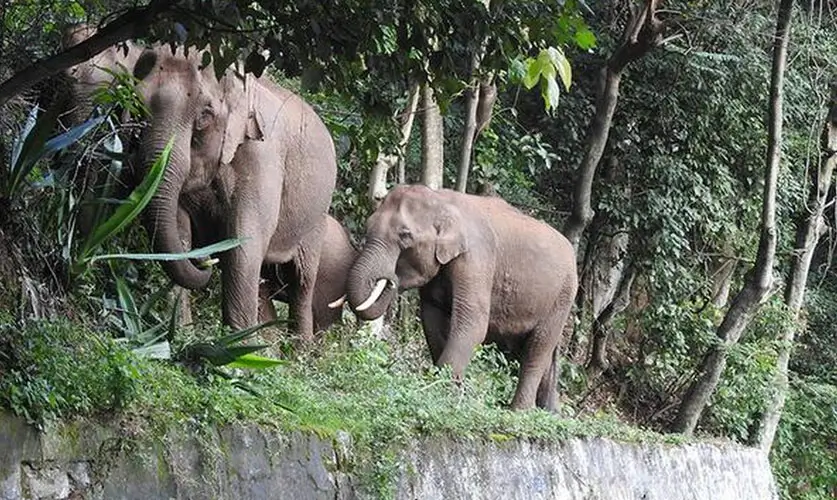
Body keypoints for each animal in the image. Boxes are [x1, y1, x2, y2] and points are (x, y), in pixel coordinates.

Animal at [131, 44, 337, 340]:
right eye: (137, 103)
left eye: (204, 116)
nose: (204, 260)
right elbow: (179, 230)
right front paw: (180, 336)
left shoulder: (261, 158)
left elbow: (244, 243)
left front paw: (235, 349)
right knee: (264, 281)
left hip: (316, 219)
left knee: (301, 283)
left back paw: (299, 349)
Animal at [345, 185, 578, 411]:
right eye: (368, 225)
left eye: (405, 235)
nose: (391, 279)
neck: (441, 199)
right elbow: (432, 318)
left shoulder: (476, 257)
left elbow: (473, 322)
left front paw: (442, 392)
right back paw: (550, 412)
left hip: (563, 297)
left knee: (536, 350)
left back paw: (519, 411)